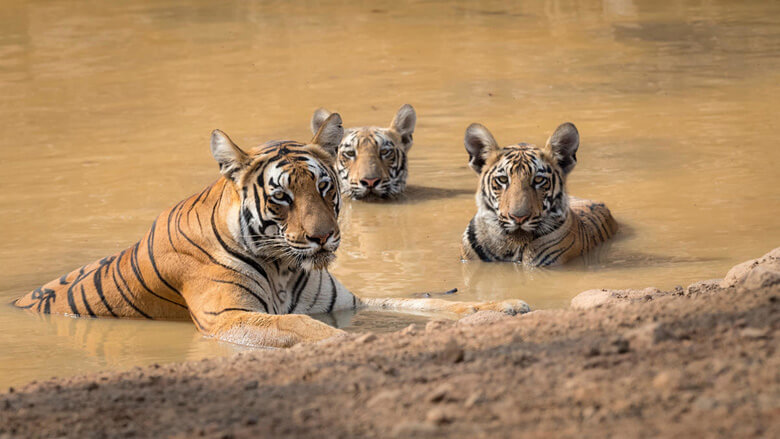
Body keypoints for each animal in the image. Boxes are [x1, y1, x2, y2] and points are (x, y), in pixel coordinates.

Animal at [16, 115, 532, 348]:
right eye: (282, 197)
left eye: (324, 187)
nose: (324, 237)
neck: (284, 266)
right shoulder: (229, 316)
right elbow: (300, 325)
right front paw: (349, 343)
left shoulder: (347, 301)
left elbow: (422, 302)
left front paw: (503, 306)